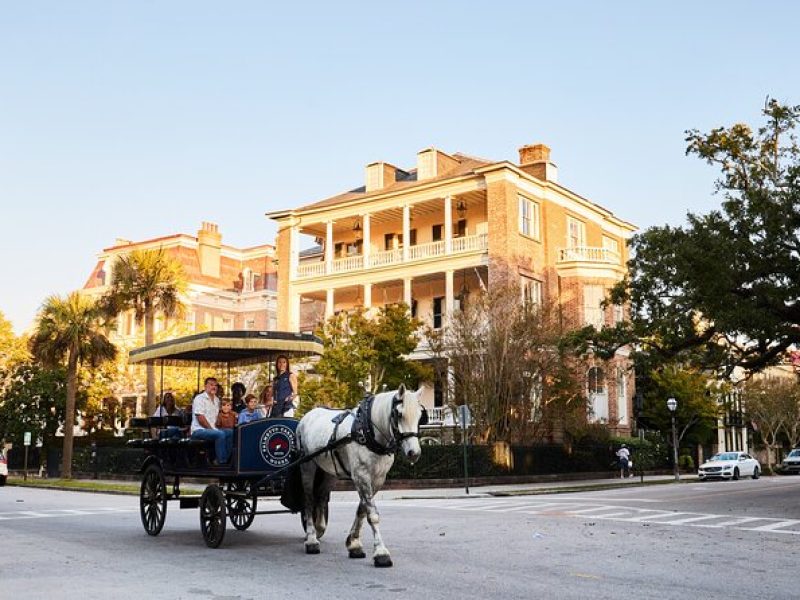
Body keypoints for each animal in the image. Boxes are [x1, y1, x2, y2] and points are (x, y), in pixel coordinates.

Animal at [296, 384, 424, 568]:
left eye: (420, 415)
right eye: (399, 414)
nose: (414, 453)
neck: (368, 430)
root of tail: (306, 416)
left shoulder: (377, 479)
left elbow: (362, 510)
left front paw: (354, 543)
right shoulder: (361, 476)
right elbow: (372, 514)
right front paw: (381, 552)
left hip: (329, 472)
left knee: (320, 496)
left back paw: (319, 528)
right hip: (307, 466)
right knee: (309, 499)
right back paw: (311, 538)